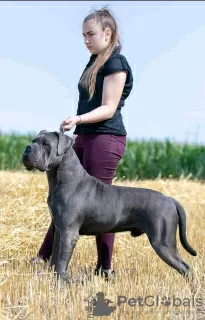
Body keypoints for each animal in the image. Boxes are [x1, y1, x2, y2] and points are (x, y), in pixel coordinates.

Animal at [22, 131, 197, 282]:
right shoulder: (60, 230)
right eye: (33, 140)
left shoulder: (69, 233)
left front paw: (61, 283)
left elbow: (62, 261)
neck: (60, 179)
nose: (28, 147)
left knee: (185, 268)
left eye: (45, 144)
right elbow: (55, 256)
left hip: (163, 242)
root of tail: (170, 199)